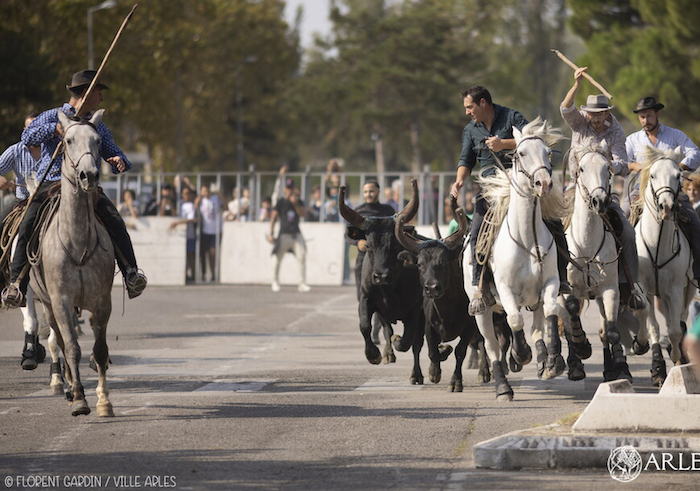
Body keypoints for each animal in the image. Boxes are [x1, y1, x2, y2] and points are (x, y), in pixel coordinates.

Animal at [30, 109, 116, 418]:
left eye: (98, 140)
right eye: (67, 140)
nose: (88, 175)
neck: (77, 242)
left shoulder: (102, 301)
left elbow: (100, 350)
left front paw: (103, 401)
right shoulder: (61, 301)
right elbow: (72, 348)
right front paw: (79, 399)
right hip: (46, 303)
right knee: (57, 340)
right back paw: (66, 385)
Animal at [464, 118, 568, 400]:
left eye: (548, 152)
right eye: (520, 153)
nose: (544, 183)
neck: (527, 238)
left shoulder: (550, 283)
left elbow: (551, 311)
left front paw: (552, 361)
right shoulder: (505, 289)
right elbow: (514, 321)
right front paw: (520, 355)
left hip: (533, 301)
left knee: (536, 328)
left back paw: (544, 359)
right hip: (483, 310)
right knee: (491, 345)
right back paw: (503, 386)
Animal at [560, 140, 632, 382]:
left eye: (607, 169)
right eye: (581, 169)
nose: (599, 201)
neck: (587, 241)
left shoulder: (609, 289)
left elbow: (610, 332)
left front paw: (619, 369)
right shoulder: (568, 288)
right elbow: (572, 309)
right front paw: (582, 347)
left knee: (603, 331)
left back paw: (611, 369)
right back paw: (575, 363)